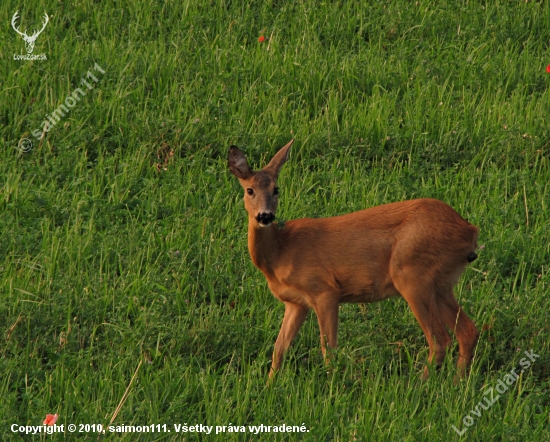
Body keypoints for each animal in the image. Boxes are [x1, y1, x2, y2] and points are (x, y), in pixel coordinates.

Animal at [227, 140, 478, 378]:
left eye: (276, 189)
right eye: (250, 190)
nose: (265, 216)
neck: (280, 253)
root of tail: (470, 231)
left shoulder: (324, 289)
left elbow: (328, 349)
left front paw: (331, 384)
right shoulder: (296, 302)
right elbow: (279, 349)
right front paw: (270, 384)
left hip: (412, 275)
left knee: (440, 339)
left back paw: (419, 384)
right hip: (442, 283)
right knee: (468, 331)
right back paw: (457, 382)